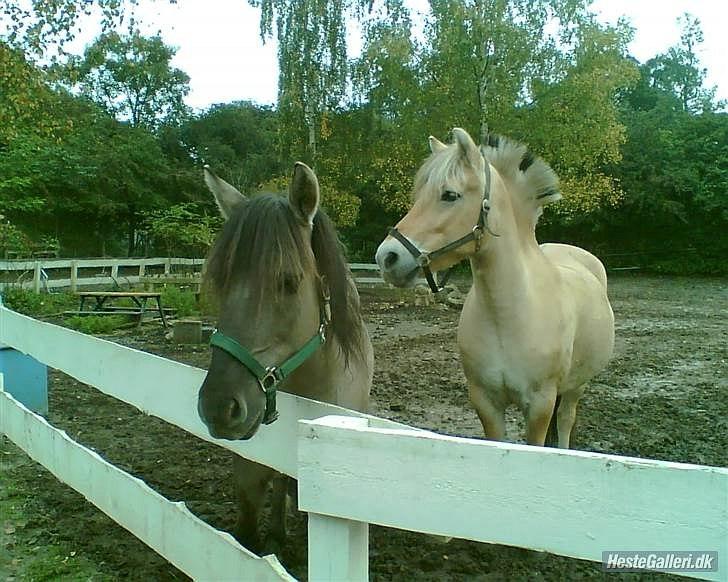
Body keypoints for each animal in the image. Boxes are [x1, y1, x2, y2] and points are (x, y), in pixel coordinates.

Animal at [376, 129, 616, 448]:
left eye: (449, 195)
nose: (386, 257)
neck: (508, 315)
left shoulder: (540, 405)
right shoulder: (485, 402)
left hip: (577, 385)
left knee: (565, 420)